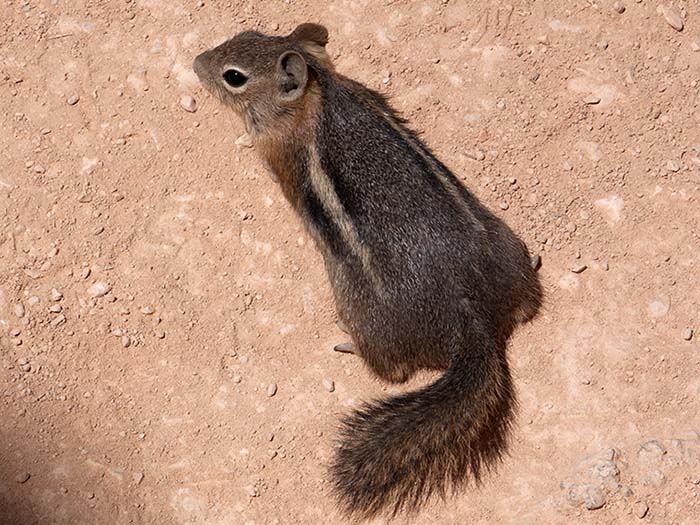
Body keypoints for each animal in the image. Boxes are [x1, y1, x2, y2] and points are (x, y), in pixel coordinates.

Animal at [193, 23, 543, 521]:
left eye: (233, 76)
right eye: (244, 31)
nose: (196, 62)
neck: (318, 93)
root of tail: (470, 321)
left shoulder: (278, 152)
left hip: (360, 308)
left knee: (390, 370)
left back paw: (349, 344)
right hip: (504, 244)